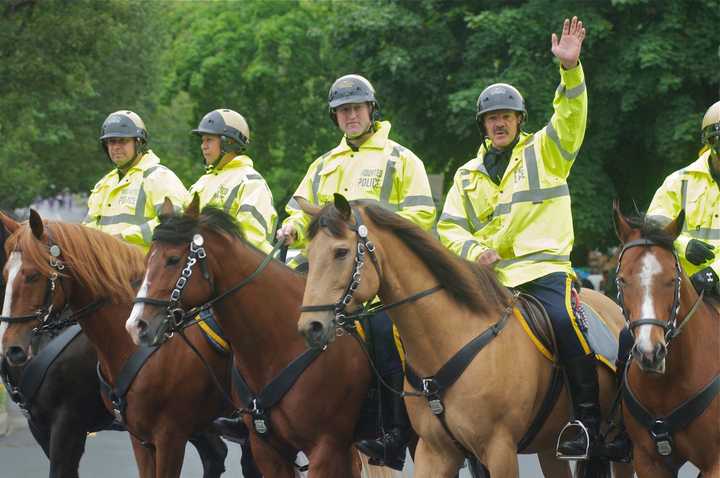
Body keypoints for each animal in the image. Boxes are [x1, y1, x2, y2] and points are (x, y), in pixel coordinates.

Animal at [124, 198, 402, 478]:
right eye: (147, 259)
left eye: (172, 259)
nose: (136, 325)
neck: (280, 345)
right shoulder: (267, 449)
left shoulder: (326, 448)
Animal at [296, 197, 632, 478]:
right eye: (309, 254)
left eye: (341, 252)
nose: (310, 326)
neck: (449, 339)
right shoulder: (436, 453)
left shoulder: (500, 451)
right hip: (549, 448)